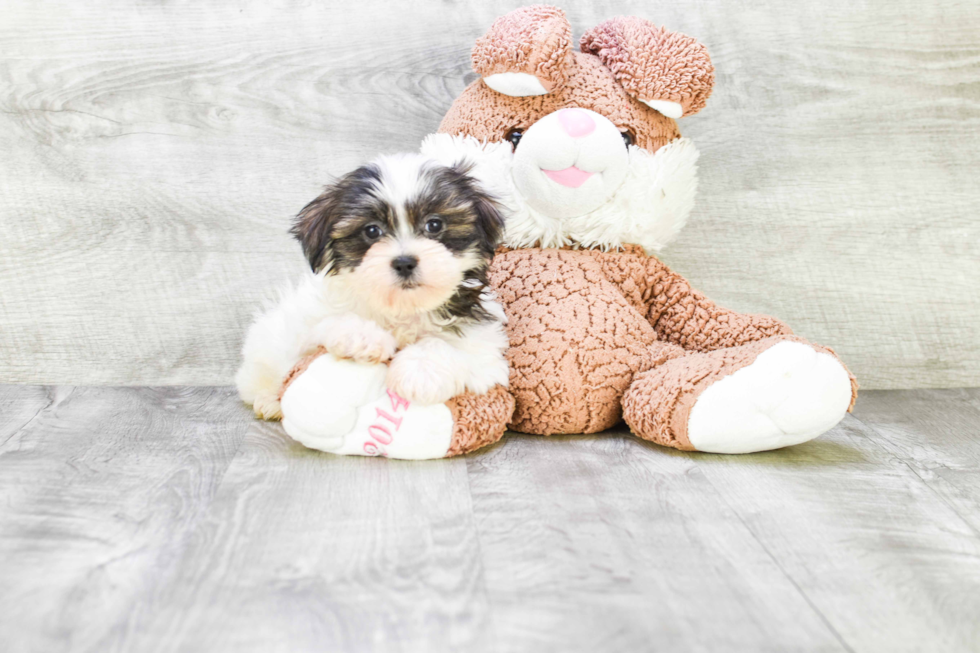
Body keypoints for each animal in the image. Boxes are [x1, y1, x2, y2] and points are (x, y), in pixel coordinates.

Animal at [235, 153, 512, 418]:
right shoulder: (307, 325)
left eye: (434, 224)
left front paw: (421, 371)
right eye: (371, 231)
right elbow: (322, 327)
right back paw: (269, 402)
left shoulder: (484, 351)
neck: (402, 308)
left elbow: (449, 346)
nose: (404, 262)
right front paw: (362, 337)